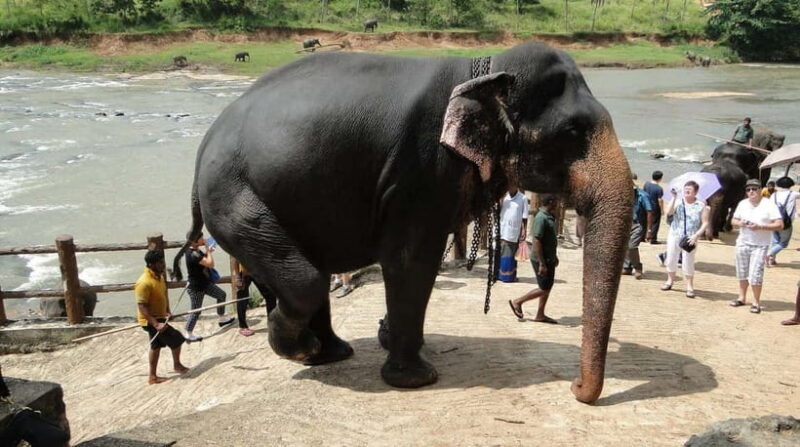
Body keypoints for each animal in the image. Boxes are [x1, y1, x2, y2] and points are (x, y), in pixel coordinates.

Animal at [172, 42, 633, 404]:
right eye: (573, 131)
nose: (574, 387)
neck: (485, 67)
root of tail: (202, 151)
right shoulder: (421, 169)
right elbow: (412, 261)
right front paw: (416, 379)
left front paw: (387, 337)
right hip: (234, 197)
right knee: (305, 279)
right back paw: (302, 349)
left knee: (303, 272)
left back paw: (328, 352)